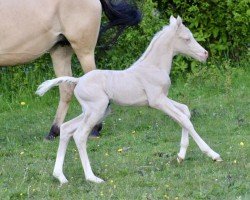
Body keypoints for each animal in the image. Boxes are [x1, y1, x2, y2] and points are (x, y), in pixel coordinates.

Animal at [36, 16, 222, 185]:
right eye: (187, 38)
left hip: (94, 111)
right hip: (97, 110)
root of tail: (78, 80)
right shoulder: (157, 100)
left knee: (66, 128)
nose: (205, 54)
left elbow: (185, 111)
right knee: (80, 135)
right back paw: (92, 178)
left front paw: (180, 157)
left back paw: (60, 177)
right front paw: (213, 155)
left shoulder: (163, 97)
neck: (153, 66)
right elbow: (184, 119)